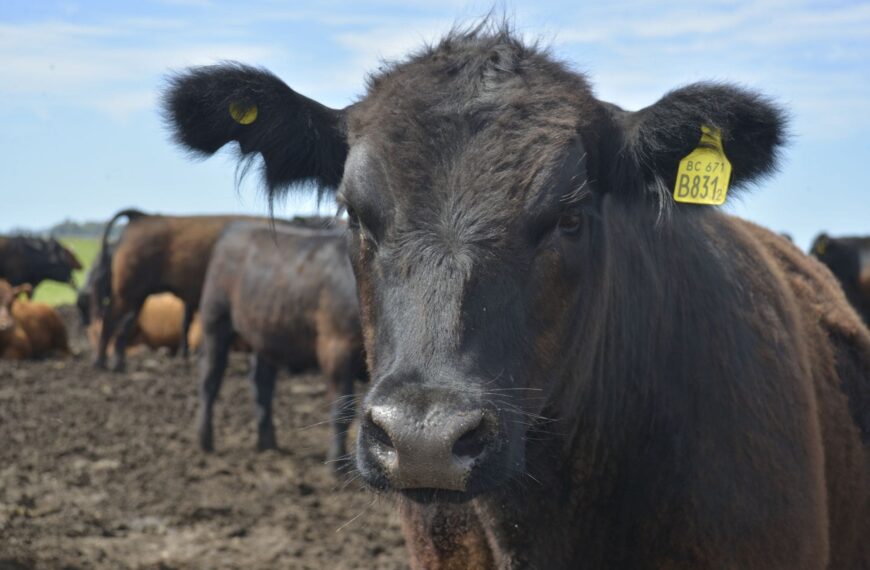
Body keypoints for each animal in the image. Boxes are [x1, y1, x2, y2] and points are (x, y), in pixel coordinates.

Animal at [197, 222, 364, 466]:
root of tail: (236, 226)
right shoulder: (337, 347)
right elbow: (342, 409)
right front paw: (336, 464)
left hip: (266, 332)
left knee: (262, 384)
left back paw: (267, 444)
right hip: (215, 321)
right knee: (210, 379)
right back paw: (204, 440)